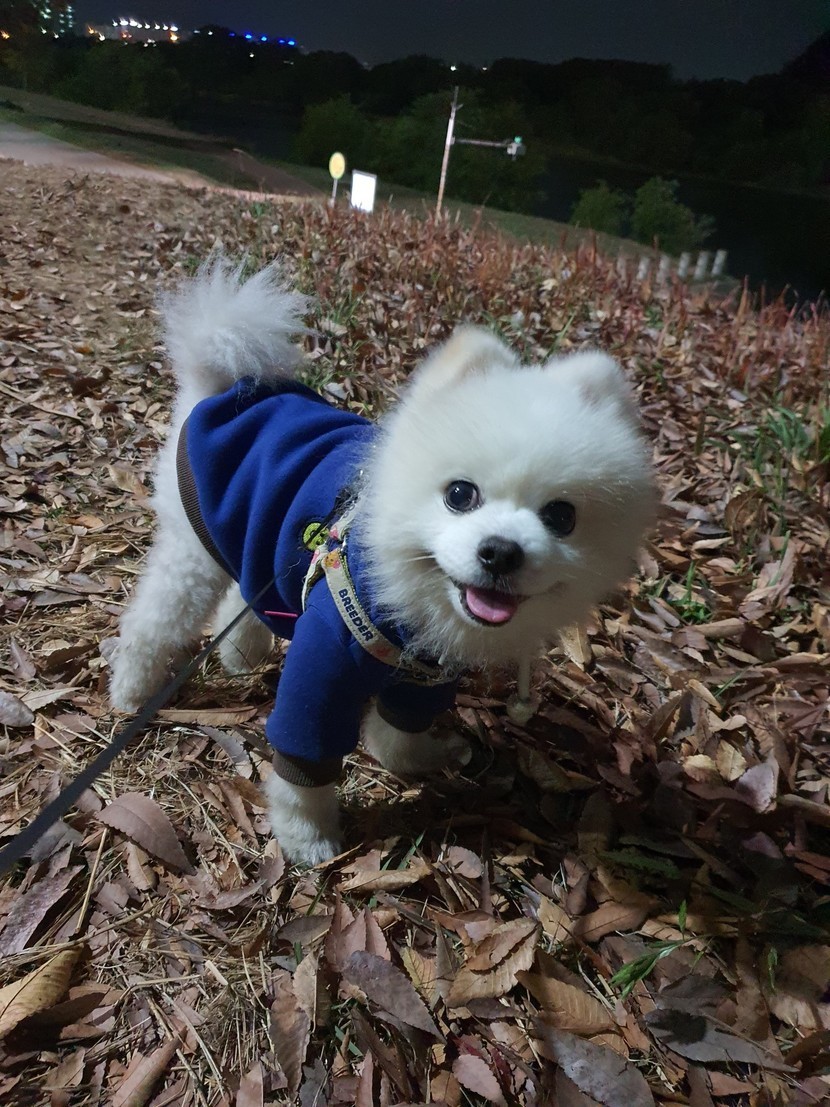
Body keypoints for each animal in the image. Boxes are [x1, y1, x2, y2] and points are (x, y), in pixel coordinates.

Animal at [110, 255, 656, 865]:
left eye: (561, 516)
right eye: (460, 494)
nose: (500, 551)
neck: (408, 597)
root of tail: (226, 386)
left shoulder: (425, 676)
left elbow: (397, 734)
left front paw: (425, 759)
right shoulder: (324, 663)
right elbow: (306, 760)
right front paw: (308, 839)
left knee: (244, 593)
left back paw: (240, 656)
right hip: (192, 548)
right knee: (153, 621)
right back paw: (130, 691)